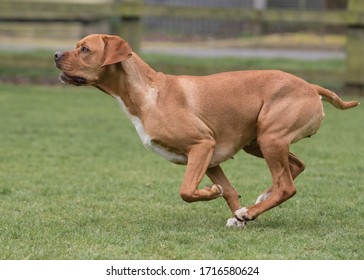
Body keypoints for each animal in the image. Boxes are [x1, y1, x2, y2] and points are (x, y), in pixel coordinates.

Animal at [54, 34, 358, 228]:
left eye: (84, 49)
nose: (55, 54)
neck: (147, 92)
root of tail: (311, 87)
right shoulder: (211, 159)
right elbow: (230, 192)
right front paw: (237, 215)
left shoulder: (201, 147)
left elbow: (187, 191)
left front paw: (212, 194)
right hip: (259, 142)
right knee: (295, 167)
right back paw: (254, 206)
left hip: (270, 139)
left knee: (287, 186)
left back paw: (255, 209)